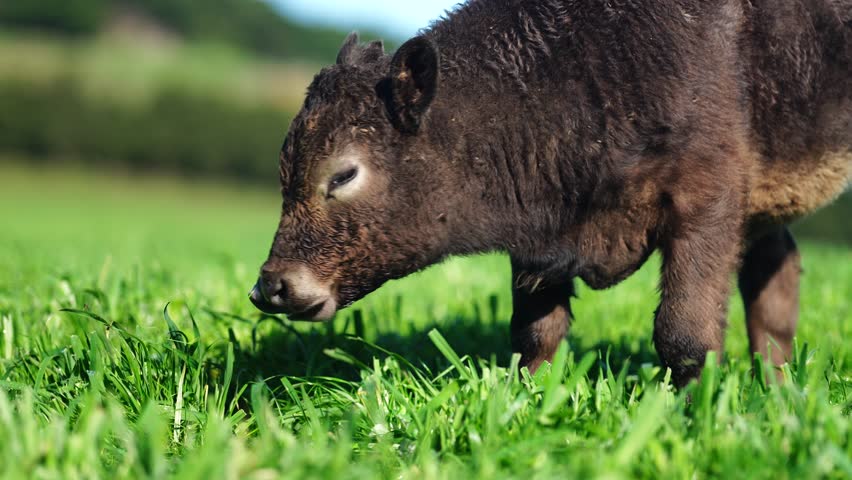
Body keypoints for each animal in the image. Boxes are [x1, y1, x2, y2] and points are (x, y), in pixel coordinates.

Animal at [249, 0, 851, 386]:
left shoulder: (707, 201)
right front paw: (530, 402)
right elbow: (537, 332)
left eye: (343, 175)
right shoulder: (537, 238)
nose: (271, 287)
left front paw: (694, 416)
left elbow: (685, 335)